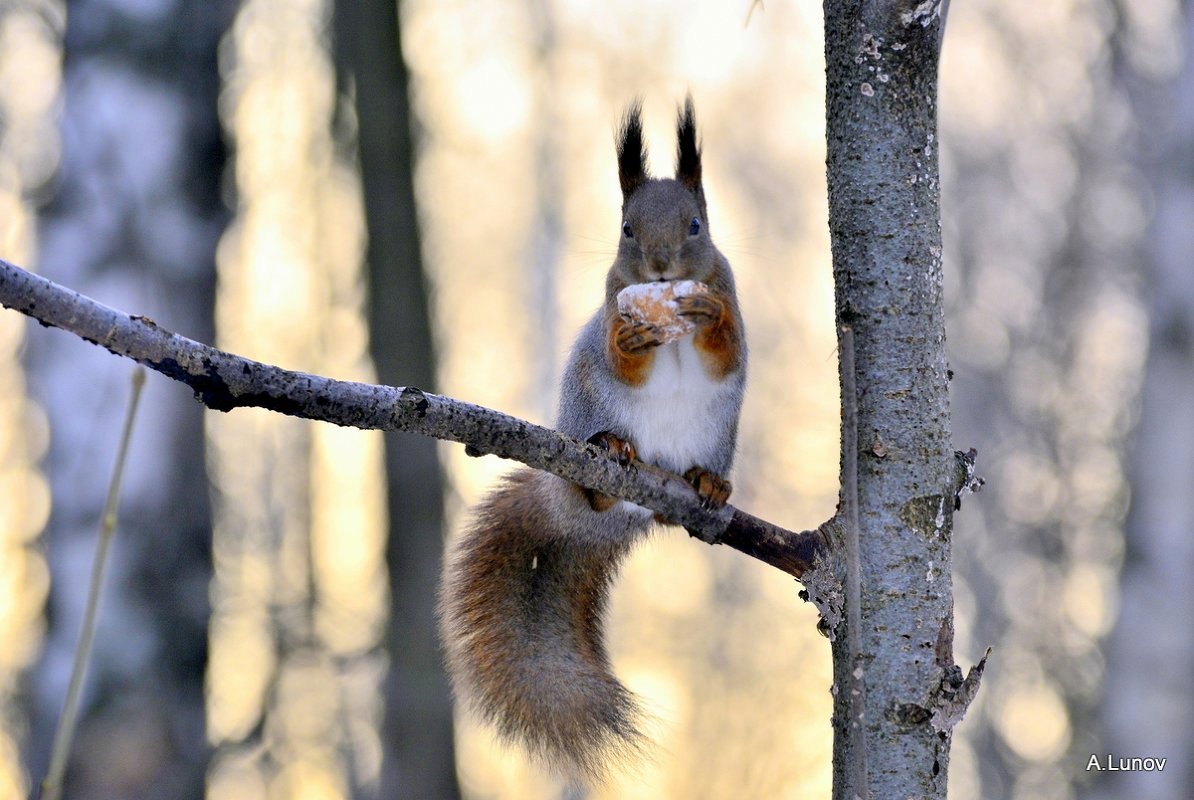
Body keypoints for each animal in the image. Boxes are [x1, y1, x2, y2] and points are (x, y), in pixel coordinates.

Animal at [437, 98, 745, 783]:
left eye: (696, 223)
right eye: (627, 228)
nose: (660, 266)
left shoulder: (730, 292)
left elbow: (725, 349)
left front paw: (706, 317)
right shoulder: (609, 302)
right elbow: (623, 357)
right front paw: (631, 339)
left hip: (716, 434)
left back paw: (706, 482)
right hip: (589, 409)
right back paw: (612, 458)